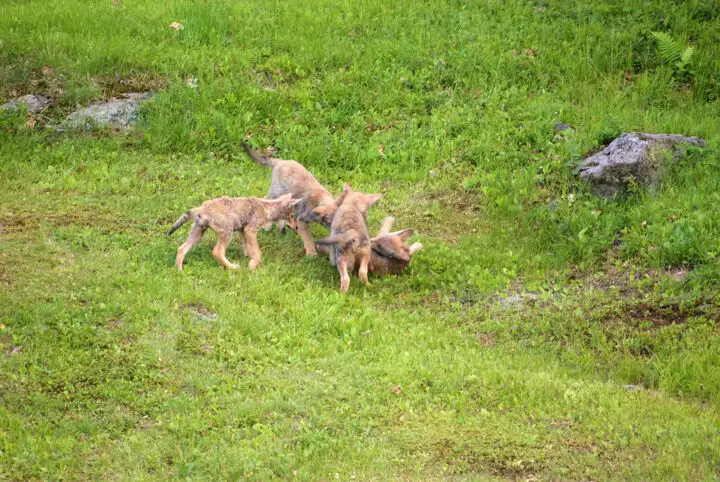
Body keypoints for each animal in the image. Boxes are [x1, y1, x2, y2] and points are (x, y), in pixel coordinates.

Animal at [168, 193, 299, 272]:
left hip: (197, 234)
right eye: (292, 216)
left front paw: (248, 258)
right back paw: (233, 267)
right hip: (227, 231)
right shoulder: (250, 230)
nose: (297, 227)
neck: (266, 208)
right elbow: (257, 253)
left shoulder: (243, 230)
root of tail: (202, 207)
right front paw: (252, 266)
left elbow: (248, 248)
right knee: (217, 251)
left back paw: (179, 271)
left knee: (181, 249)